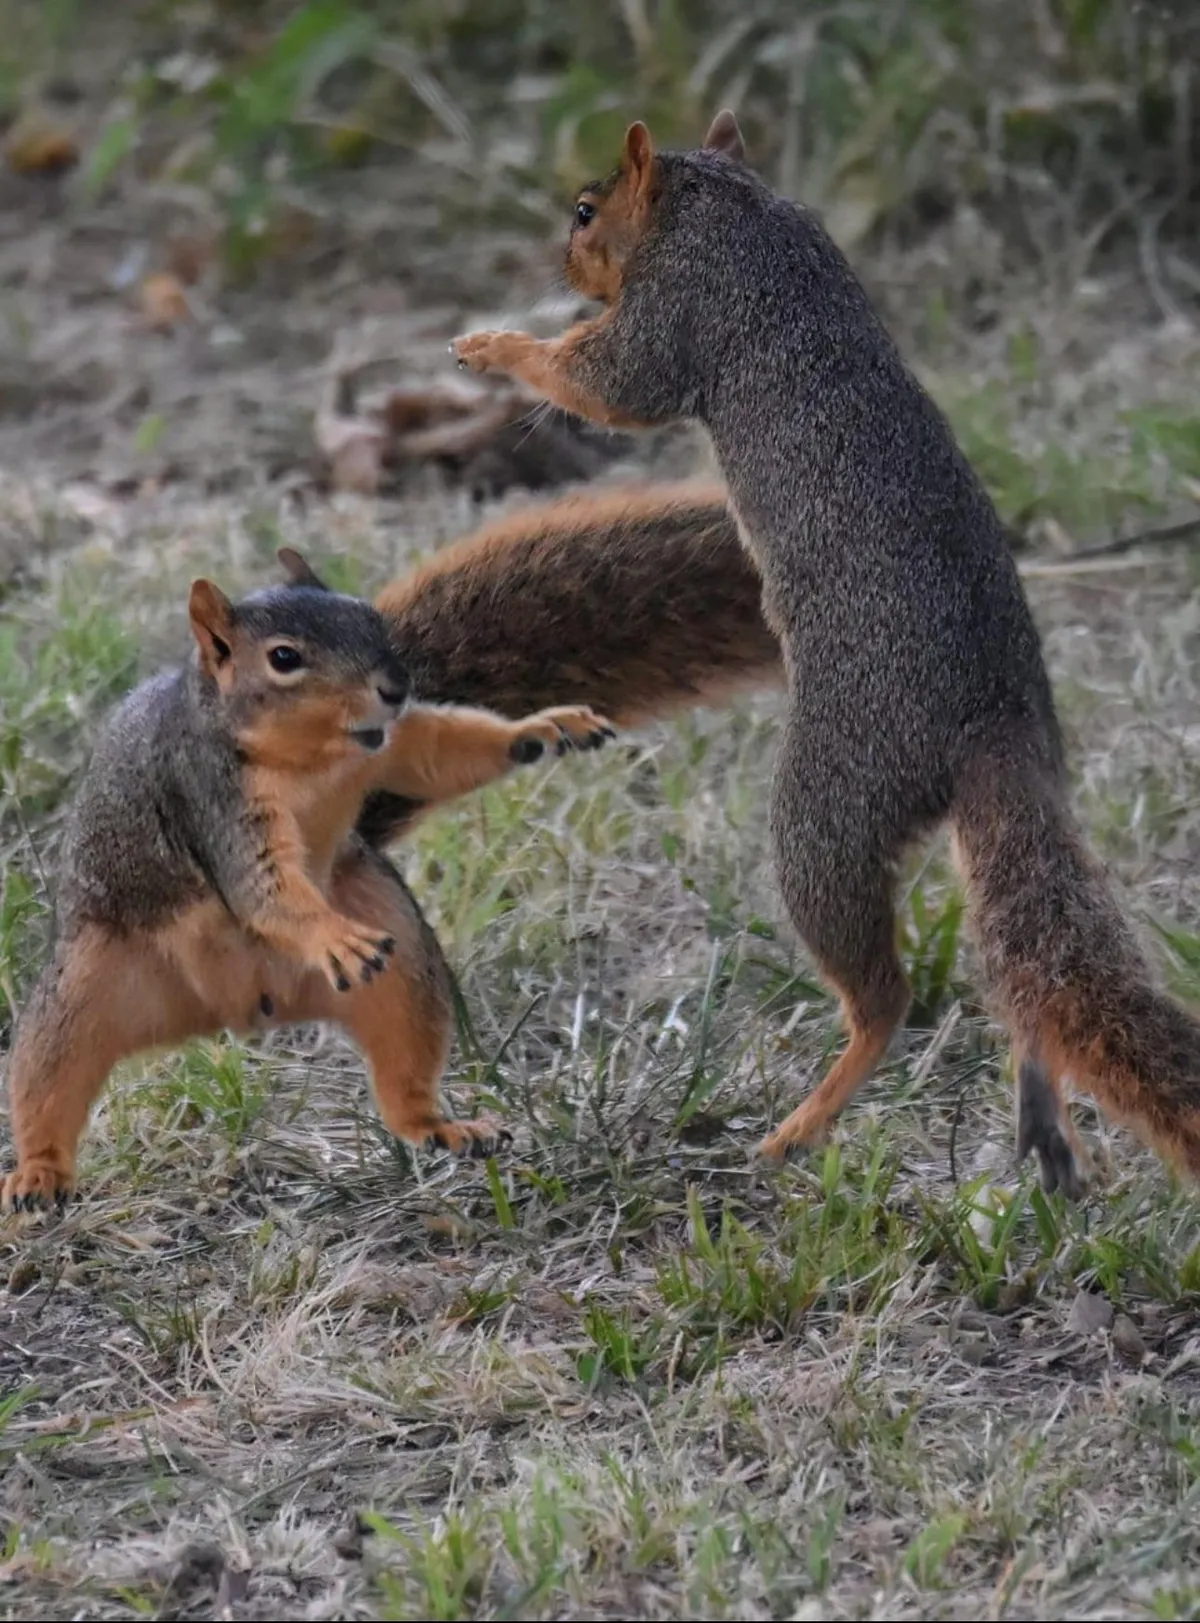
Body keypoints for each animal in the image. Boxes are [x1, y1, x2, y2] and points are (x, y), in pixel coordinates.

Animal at [2, 552, 615, 1210]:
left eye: (371, 620)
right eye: (284, 657)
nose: (395, 688)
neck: (311, 759)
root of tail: (238, 1012)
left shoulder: (391, 743)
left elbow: (439, 751)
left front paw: (546, 727)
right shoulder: (212, 797)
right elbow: (262, 885)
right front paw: (333, 937)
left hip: (402, 960)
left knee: (404, 1065)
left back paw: (443, 1128)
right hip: (90, 983)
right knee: (48, 1074)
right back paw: (38, 1174)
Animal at [452, 110, 1200, 1195]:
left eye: (587, 212)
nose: (564, 262)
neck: (728, 203)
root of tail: (996, 715)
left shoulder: (679, 307)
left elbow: (611, 383)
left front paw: (493, 344)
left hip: (830, 807)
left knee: (883, 993)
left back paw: (797, 1127)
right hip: (966, 838)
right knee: (1021, 976)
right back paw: (1041, 1124)